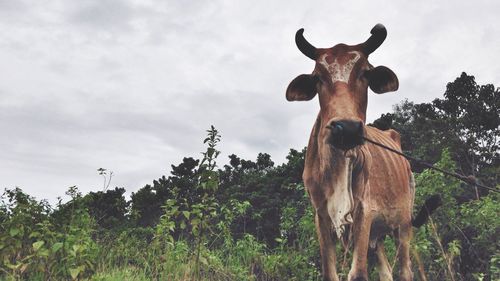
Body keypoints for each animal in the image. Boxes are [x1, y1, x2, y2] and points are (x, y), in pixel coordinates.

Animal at [286, 24, 442, 280]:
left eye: (366, 74)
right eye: (318, 77)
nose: (346, 128)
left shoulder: (364, 211)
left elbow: (358, 272)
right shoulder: (321, 215)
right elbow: (330, 272)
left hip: (403, 225)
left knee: (405, 269)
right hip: (377, 237)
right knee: (387, 272)